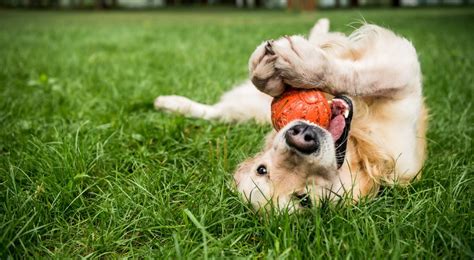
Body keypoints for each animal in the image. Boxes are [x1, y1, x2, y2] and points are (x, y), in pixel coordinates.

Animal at [154, 18, 428, 213]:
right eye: (263, 170)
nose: (301, 137)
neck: (357, 147)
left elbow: (357, 75)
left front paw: (297, 67)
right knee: (218, 112)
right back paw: (170, 103)